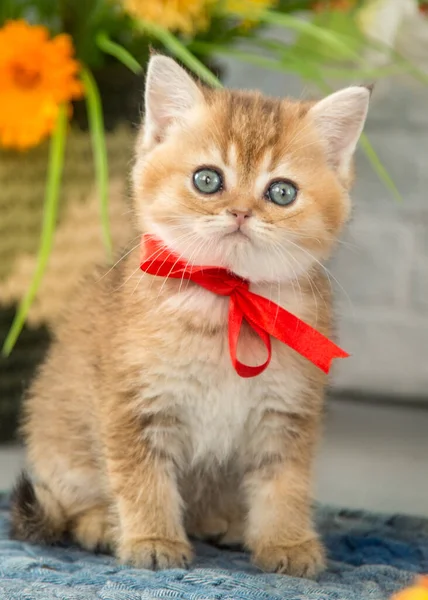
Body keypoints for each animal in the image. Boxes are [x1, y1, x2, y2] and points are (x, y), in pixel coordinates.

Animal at [10, 55, 372, 576]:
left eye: (282, 192)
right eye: (207, 179)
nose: (240, 213)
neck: (228, 300)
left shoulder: (287, 414)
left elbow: (285, 486)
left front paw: (285, 542)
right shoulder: (135, 404)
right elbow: (142, 479)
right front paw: (153, 539)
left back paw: (226, 522)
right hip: (61, 441)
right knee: (68, 502)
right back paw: (101, 524)